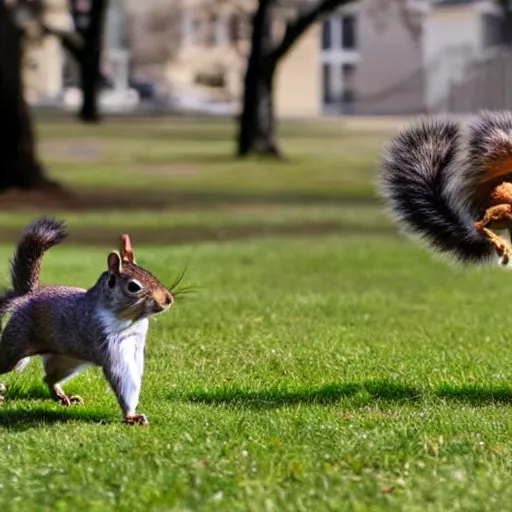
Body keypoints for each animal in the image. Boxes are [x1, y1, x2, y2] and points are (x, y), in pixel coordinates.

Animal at [0, 218, 174, 426]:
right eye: (133, 286)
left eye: (150, 272)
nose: (168, 300)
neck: (129, 319)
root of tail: (28, 296)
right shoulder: (110, 343)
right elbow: (122, 378)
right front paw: (131, 416)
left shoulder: (136, 346)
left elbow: (135, 375)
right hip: (15, 347)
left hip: (66, 359)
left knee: (49, 378)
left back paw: (62, 396)